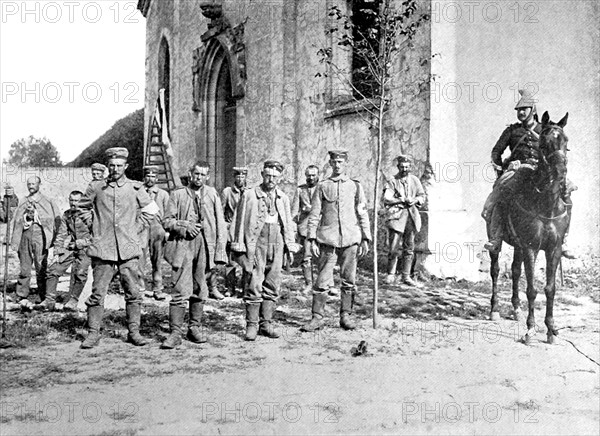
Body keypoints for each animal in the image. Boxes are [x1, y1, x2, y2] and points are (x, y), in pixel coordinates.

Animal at [488, 111, 572, 344]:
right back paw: (494, 310)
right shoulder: (531, 248)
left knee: (515, 271)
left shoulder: (553, 249)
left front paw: (551, 328)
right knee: (495, 270)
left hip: (518, 246)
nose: (561, 171)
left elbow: (550, 289)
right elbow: (532, 289)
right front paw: (531, 328)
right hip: (499, 241)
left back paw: (516, 309)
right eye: (544, 142)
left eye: (566, 140)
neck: (546, 203)